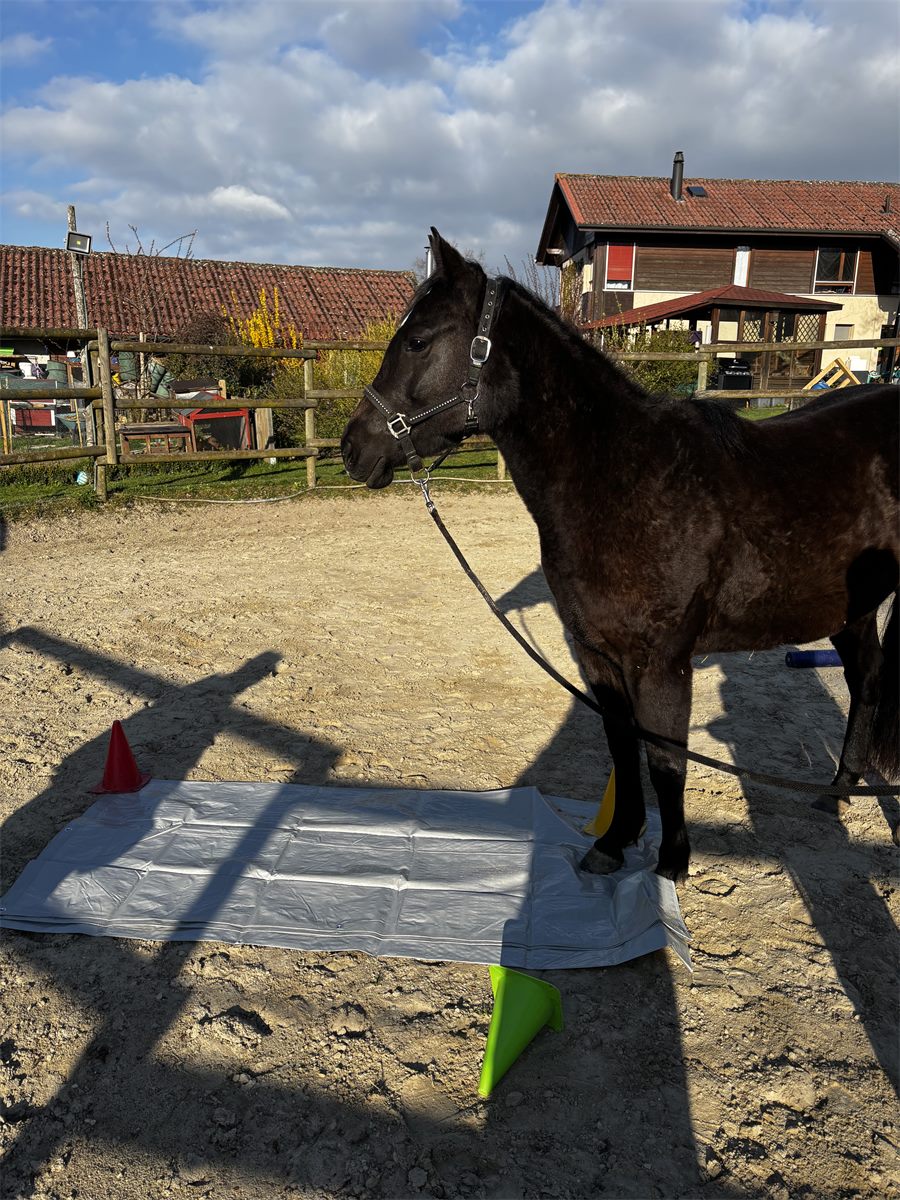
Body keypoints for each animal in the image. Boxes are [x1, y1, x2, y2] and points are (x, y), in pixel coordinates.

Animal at [341, 229, 899, 882]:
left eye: (419, 340)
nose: (354, 449)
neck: (624, 478)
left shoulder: (662, 664)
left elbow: (666, 762)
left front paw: (670, 865)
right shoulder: (598, 658)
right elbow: (621, 747)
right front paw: (615, 842)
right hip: (850, 609)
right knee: (867, 680)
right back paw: (837, 791)